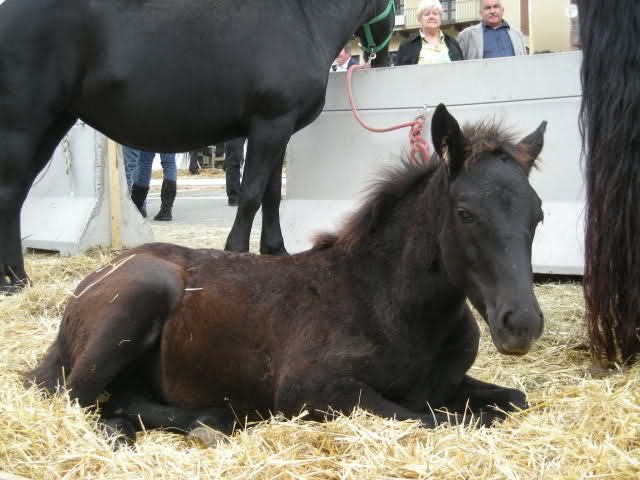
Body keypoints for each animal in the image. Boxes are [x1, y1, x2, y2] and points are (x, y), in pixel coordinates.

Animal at [0, 0, 396, 292]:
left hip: (53, 124)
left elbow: (271, 195)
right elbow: (252, 194)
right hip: (23, 125)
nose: (386, 55)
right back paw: (15, 279)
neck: (304, 21)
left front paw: (276, 250)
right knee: (10, 194)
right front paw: (236, 253)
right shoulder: (270, 124)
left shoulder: (280, 128)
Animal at [25, 105, 544, 442]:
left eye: (538, 214)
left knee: (123, 398)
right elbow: (439, 420)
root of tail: (86, 286)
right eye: (465, 213)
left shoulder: (447, 384)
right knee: (79, 400)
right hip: (136, 301)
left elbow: (512, 401)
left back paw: (208, 421)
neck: (386, 300)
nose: (521, 324)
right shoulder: (312, 390)